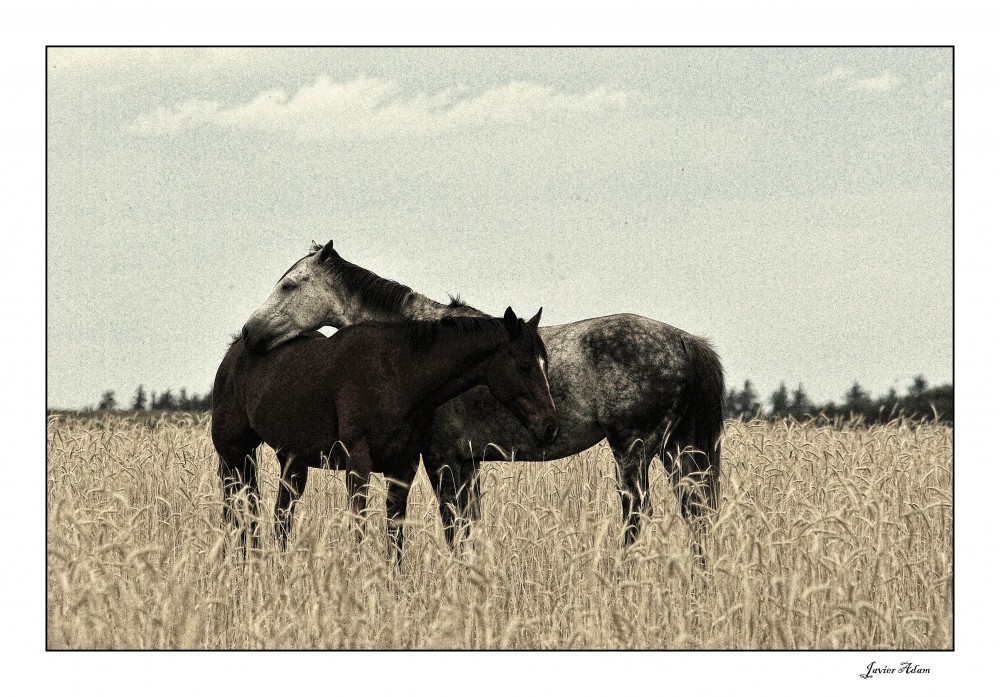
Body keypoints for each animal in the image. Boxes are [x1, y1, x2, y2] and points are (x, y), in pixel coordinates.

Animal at [212, 308, 560, 560]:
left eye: (545, 364)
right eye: (524, 365)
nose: (550, 426)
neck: (398, 375)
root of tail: (234, 352)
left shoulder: (403, 466)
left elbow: (395, 531)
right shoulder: (358, 463)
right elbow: (359, 525)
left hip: (292, 460)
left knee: (278, 518)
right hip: (233, 455)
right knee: (237, 513)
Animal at [242, 242, 728, 556]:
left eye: (289, 287)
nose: (249, 333)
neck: (417, 349)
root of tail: (685, 341)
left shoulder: (440, 461)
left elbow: (453, 526)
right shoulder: (467, 463)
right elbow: (467, 526)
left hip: (634, 449)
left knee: (638, 513)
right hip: (677, 450)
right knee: (696, 511)